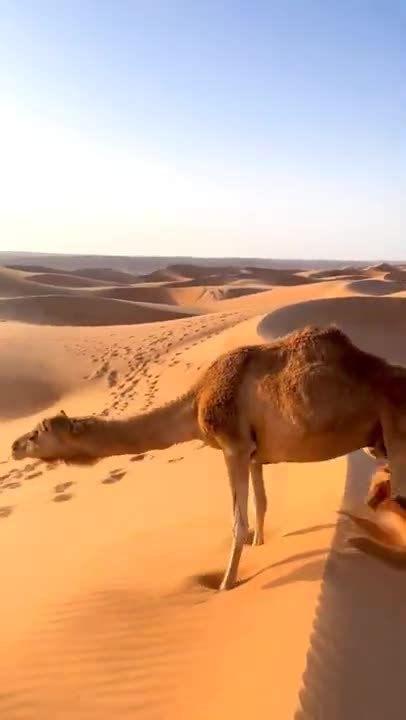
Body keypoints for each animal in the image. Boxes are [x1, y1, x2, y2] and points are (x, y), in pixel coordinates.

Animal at [10, 326, 406, 592]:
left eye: (38, 432)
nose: (13, 446)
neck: (196, 402)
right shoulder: (255, 454)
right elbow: (262, 504)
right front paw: (261, 547)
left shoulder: (233, 446)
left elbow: (238, 522)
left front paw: (226, 584)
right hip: (379, 443)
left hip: (396, 433)